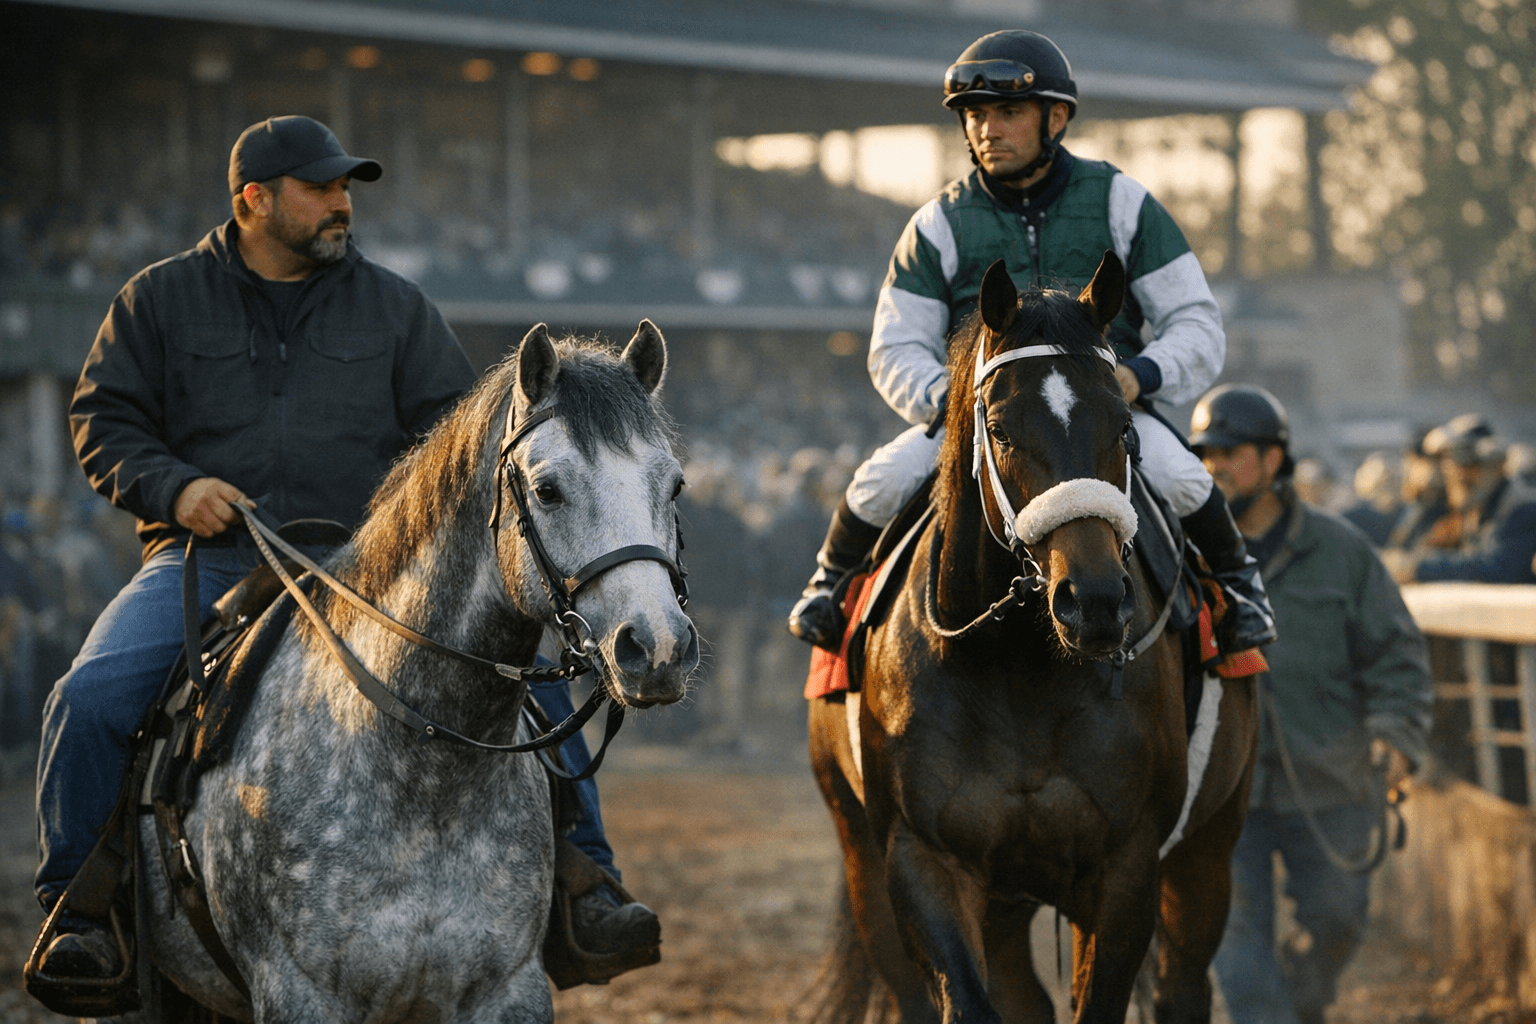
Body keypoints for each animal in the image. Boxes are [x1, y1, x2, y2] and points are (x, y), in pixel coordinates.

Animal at [138, 321, 700, 1022]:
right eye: (547, 489)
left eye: (674, 485)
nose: (658, 648)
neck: (425, 779)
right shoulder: (300, 993)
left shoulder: (507, 991)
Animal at [807, 254, 1258, 1024]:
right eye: (1000, 428)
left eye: (1125, 429)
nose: (1097, 601)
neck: (1015, 666)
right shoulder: (923, 858)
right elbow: (968, 1000)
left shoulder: (1126, 866)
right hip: (864, 849)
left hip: (1209, 845)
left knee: (1182, 985)